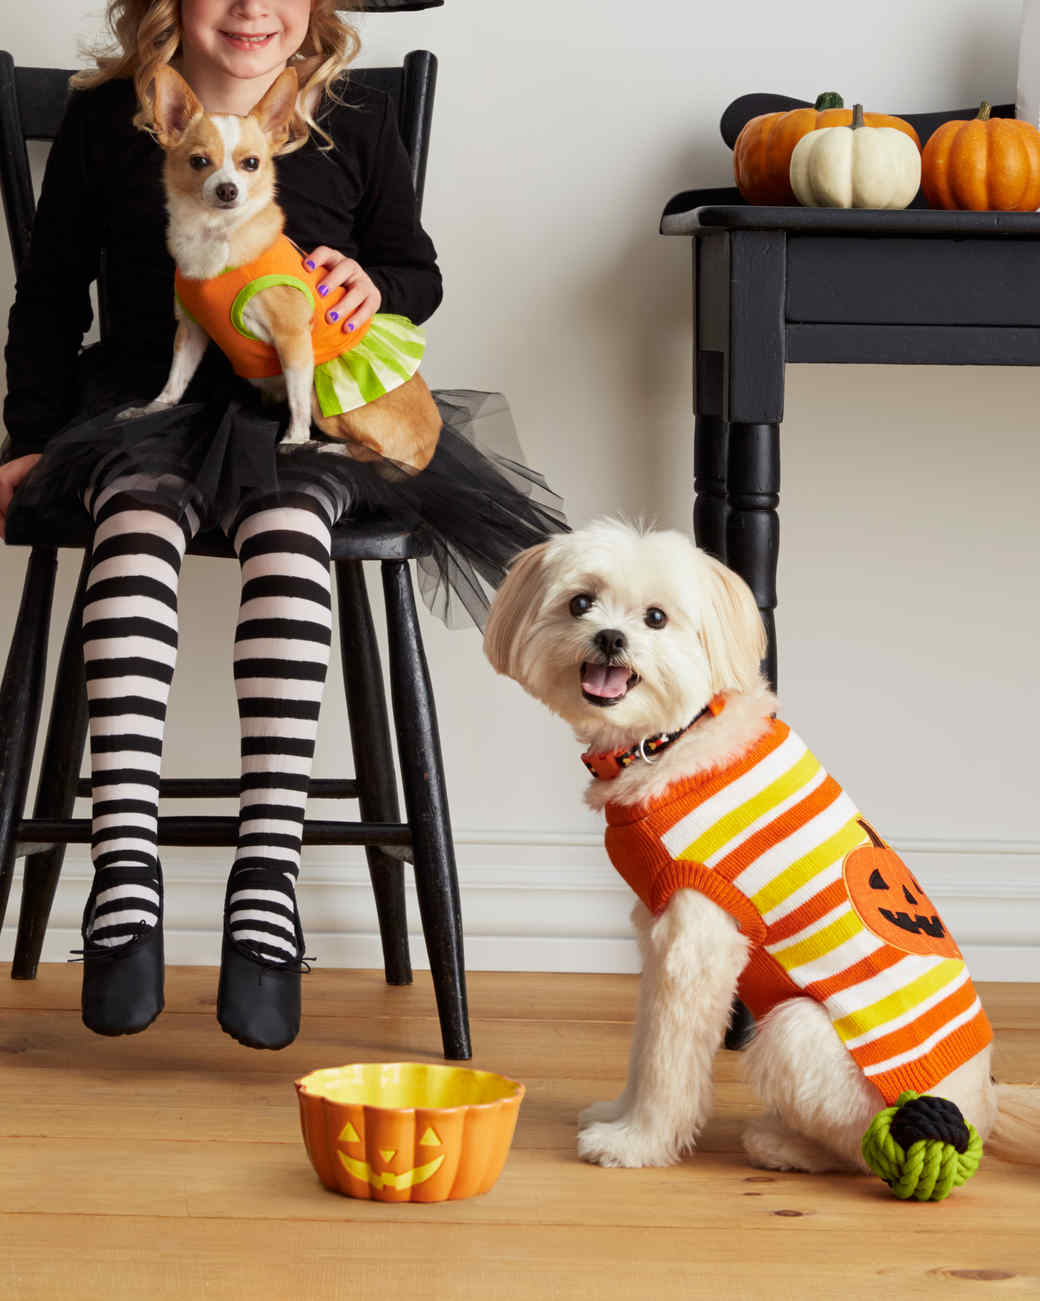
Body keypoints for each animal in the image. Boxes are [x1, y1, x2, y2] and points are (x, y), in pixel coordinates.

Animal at [489, 520, 1040, 1181]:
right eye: (580, 603)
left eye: (656, 617)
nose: (610, 637)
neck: (674, 740)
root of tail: (984, 1108)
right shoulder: (658, 931)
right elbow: (644, 1042)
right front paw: (617, 1113)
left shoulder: (696, 944)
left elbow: (667, 1060)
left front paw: (638, 1143)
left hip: (796, 1031)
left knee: (864, 1150)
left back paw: (784, 1146)